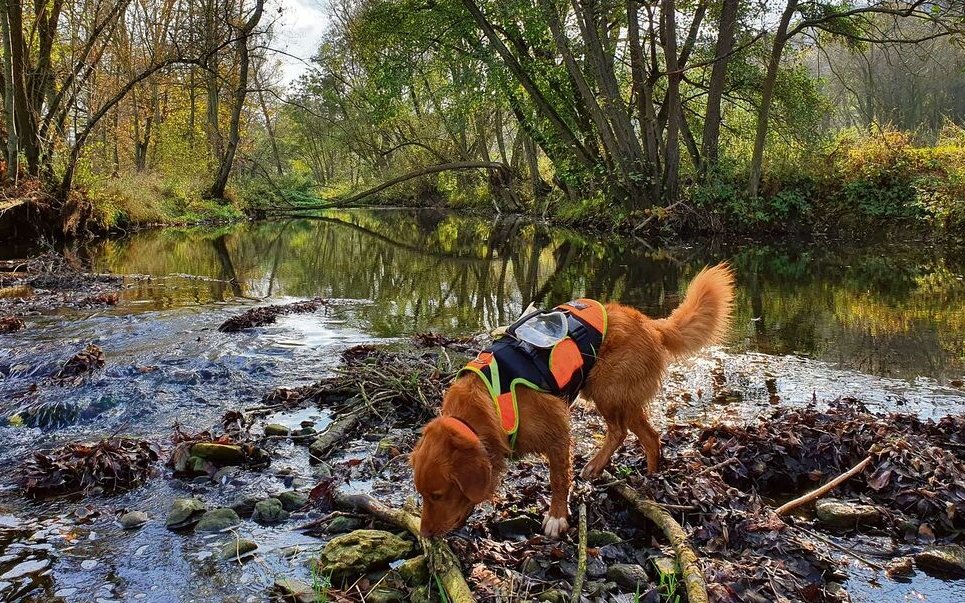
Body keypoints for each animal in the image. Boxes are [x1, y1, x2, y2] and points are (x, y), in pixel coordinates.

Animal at [410, 264, 736, 536]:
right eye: (422, 495)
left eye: (438, 495)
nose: (425, 535)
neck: (490, 402)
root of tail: (648, 322)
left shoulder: (557, 433)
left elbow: (558, 478)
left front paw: (557, 516)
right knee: (633, 434)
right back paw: (623, 471)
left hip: (609, 390)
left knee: (636, 433)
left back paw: (644, 477)